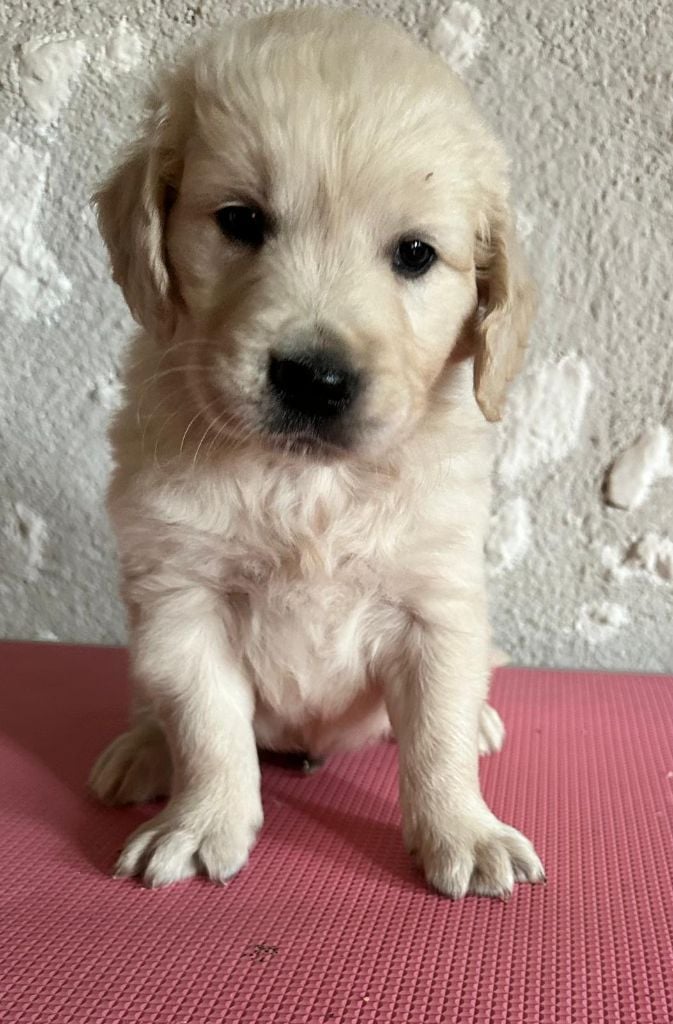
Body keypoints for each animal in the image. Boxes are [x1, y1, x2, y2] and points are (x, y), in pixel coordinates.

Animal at [89, 7, 543, 899]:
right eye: (240, 221)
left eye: (414, 254)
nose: (314, 378)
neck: (307, 481)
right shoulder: (181, 598)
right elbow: (205, 724)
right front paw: (201, 823)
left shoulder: (436, 605)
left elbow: (436, 735)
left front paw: (464, 832)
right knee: (155, 707)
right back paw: (140, 751)